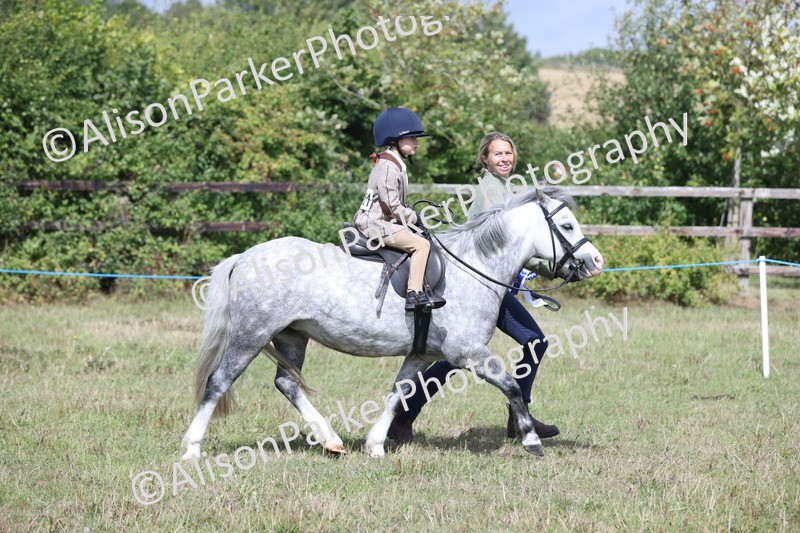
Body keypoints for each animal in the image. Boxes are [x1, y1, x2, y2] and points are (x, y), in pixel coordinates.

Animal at [181, 186, 604, 460]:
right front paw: (532, 441)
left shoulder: (420, 354)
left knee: (287, 383)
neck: (474, 267)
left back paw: (331, 440)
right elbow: (512, 386)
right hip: (252, 335)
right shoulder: (468, 352)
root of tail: (245, 256)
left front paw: (376, 445)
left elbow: (398, 392)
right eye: (567, 226)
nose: (595, 262)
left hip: (292, 336)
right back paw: (191, 449)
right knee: (219, 381)